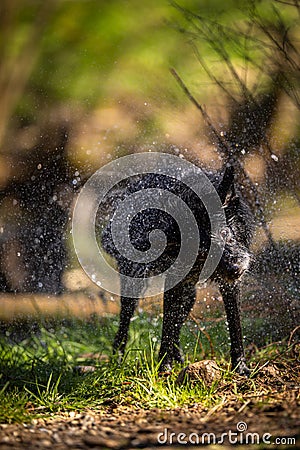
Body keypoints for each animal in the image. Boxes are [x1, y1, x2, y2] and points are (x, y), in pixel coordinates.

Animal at [102, 163, 254, 376]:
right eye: (202, 250)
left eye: (225, 233)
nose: (236, 267)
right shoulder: (174, 285)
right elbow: (167, 327)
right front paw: (164, 368)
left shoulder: (230, 286)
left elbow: (235, 325)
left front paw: (240, 367)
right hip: (134, 283)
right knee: (126, 319)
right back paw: (118, 358)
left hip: (190, 296)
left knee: (178, 321)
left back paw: (180, 358)